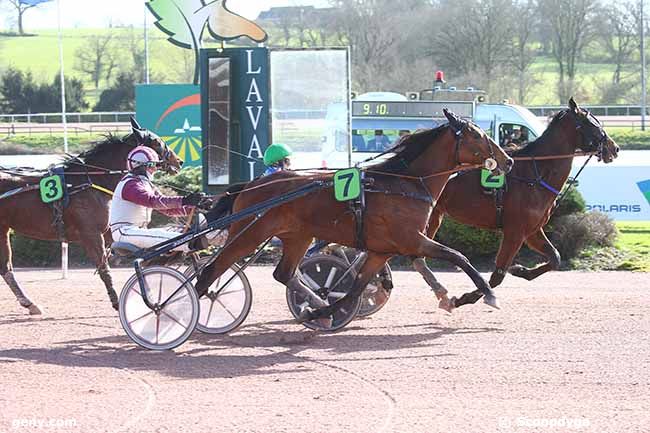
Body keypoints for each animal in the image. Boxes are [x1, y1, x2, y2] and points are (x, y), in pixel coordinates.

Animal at [0, 118, 182, 314]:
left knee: (5, 267)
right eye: (157, 142)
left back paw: (29, 303)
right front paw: (117, 302)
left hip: (3, 231)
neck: (92, 183)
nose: (179, 161)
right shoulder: (91, 234)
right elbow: (104, 270)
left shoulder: (108, 231)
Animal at [197, 108, 512, 324]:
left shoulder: (381, 251)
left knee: (283, 273)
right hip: (249, 233)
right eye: (477, 136)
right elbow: (459, 256)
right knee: (210, 271)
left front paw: (321, 312)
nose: (507, 160)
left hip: (297, 236)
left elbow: (354, 290)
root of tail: (251, 184)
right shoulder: (412, 239)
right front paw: (489, 294)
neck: (405, 183)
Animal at [412, 98, 620, 310]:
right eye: (593, 124)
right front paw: (467, 298)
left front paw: (520, 270)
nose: (614, 148)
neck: (535, 174)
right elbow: (497, 276)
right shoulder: (515, 231)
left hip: (434, 216)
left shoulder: (532, 230)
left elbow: (555, 258)